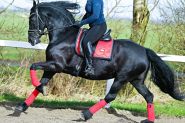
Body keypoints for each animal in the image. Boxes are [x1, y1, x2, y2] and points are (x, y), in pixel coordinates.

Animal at [15, 0, 184, 123]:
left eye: (32, 18)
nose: (32, 40)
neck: (63, 35)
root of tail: (144, 50)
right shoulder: (52, 67)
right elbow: (39, 84)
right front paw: (22, 106)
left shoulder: (57, 65)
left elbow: (33, 66)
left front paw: (38, 91)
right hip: (136, 80)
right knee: (149, 96)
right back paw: (149, 120)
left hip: (122, 78)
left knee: (111, 96)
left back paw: (86, 114)